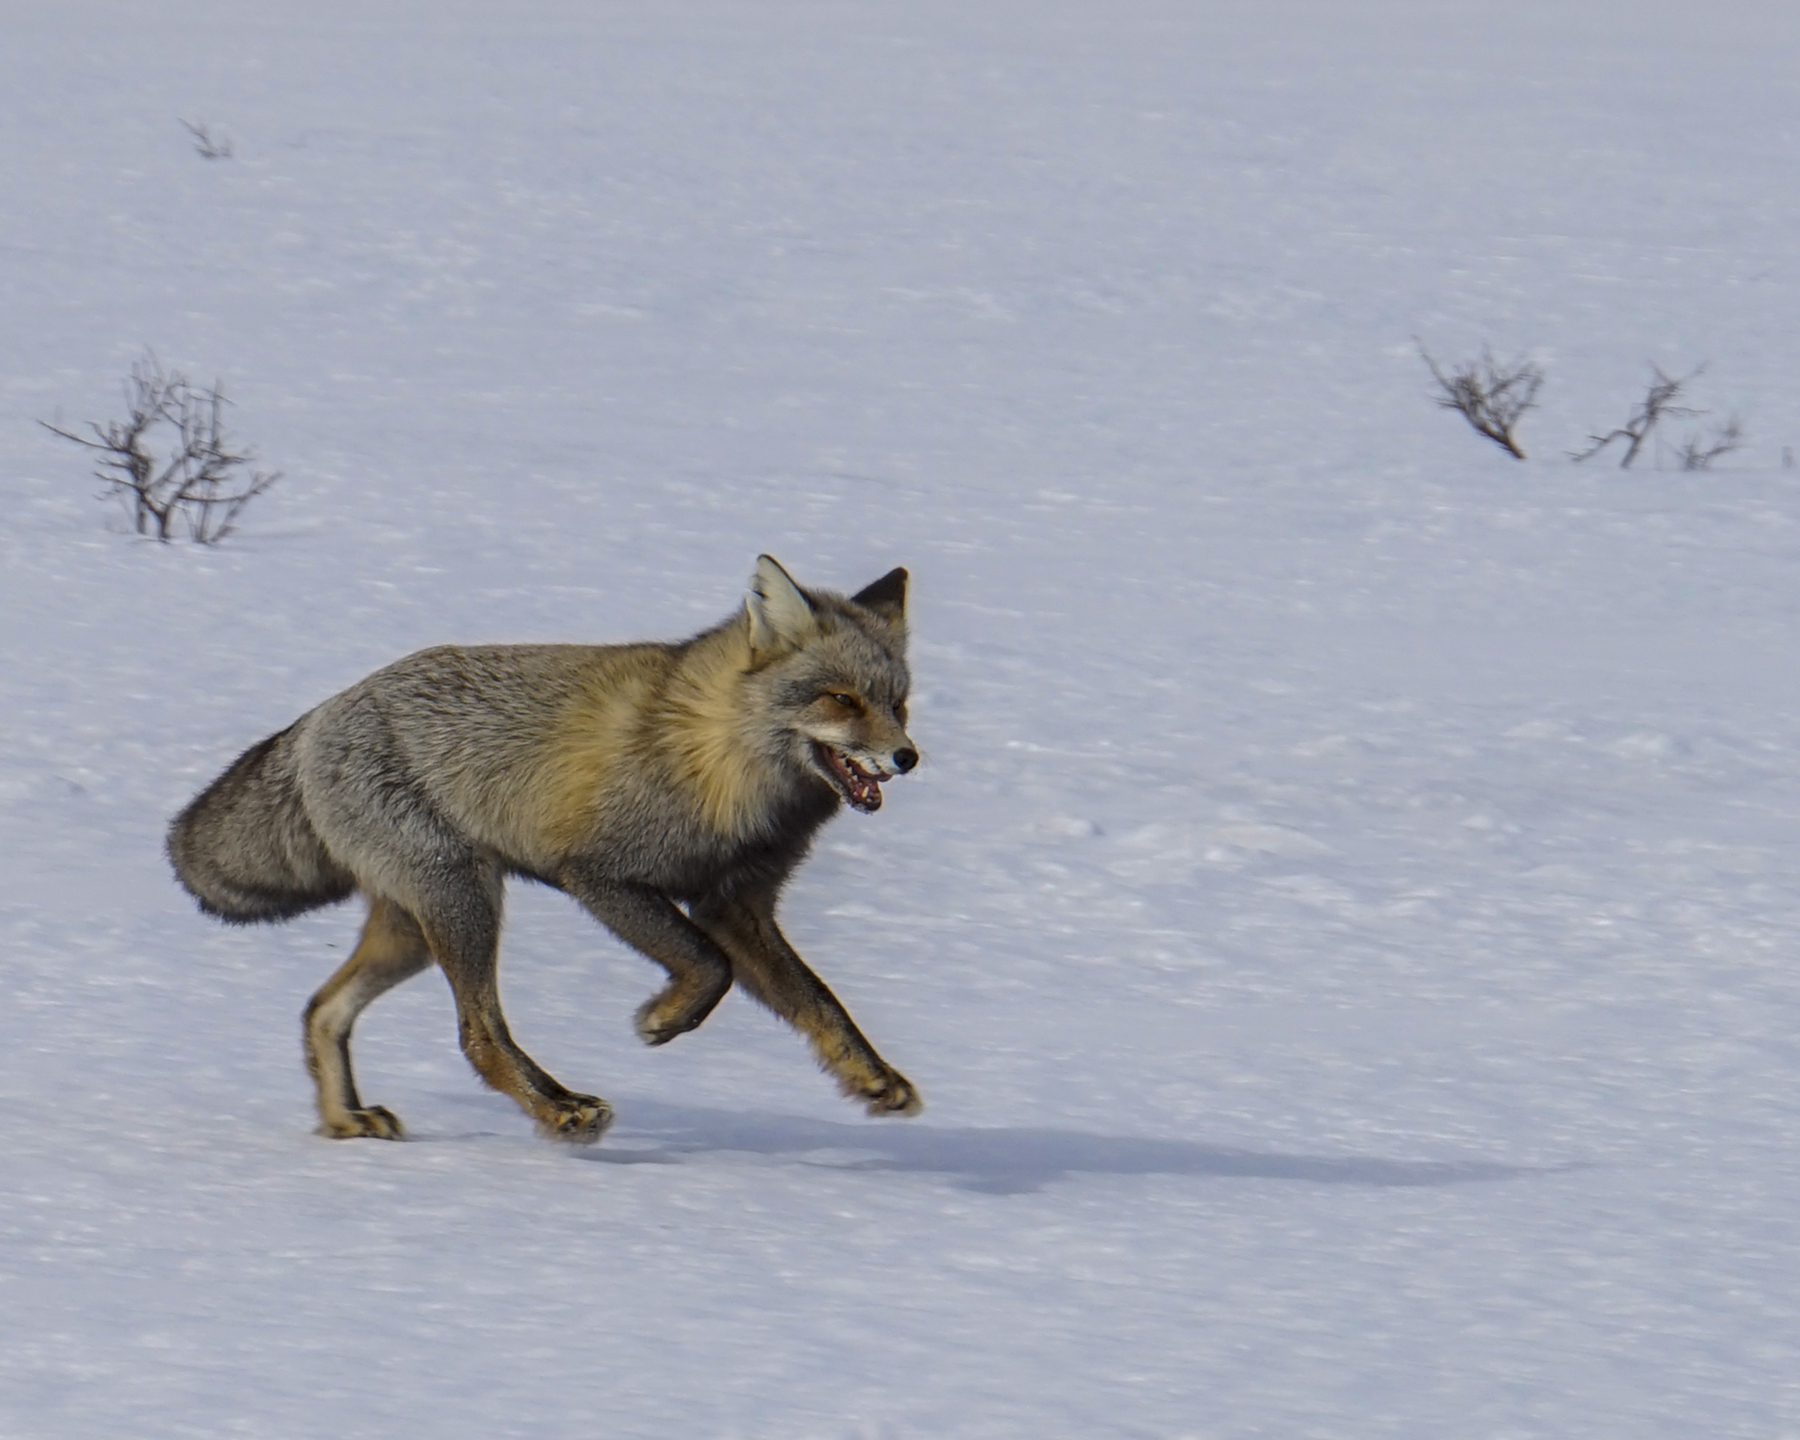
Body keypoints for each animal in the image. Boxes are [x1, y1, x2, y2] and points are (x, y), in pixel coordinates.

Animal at [167, 555, 922, 1144]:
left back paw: (345, 1120)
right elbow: (710, 969)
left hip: (414, 931)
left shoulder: (736, 904)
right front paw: (662, 1021)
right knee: (477, 1036)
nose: (907, 758)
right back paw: (558, 1110)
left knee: (322, 1010)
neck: (723, 768)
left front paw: (873, 1079)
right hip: (464, 903)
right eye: (841, 699)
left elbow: (820, 1002)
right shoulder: (599, 875)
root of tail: (318, 716)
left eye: (899, 704)